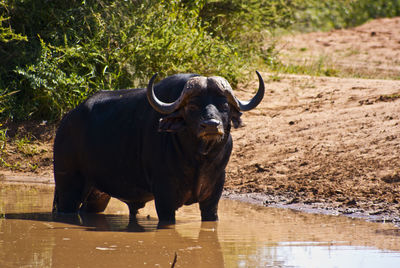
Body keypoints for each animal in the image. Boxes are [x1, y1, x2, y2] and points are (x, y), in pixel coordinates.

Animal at [53, 71, 266, 224]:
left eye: (224, 106)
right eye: (193, 106)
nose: (211, 125)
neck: (198, 160)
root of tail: (66, 122)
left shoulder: (213, 197)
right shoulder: (165, 200)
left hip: (97, 196)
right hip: (67, 188)